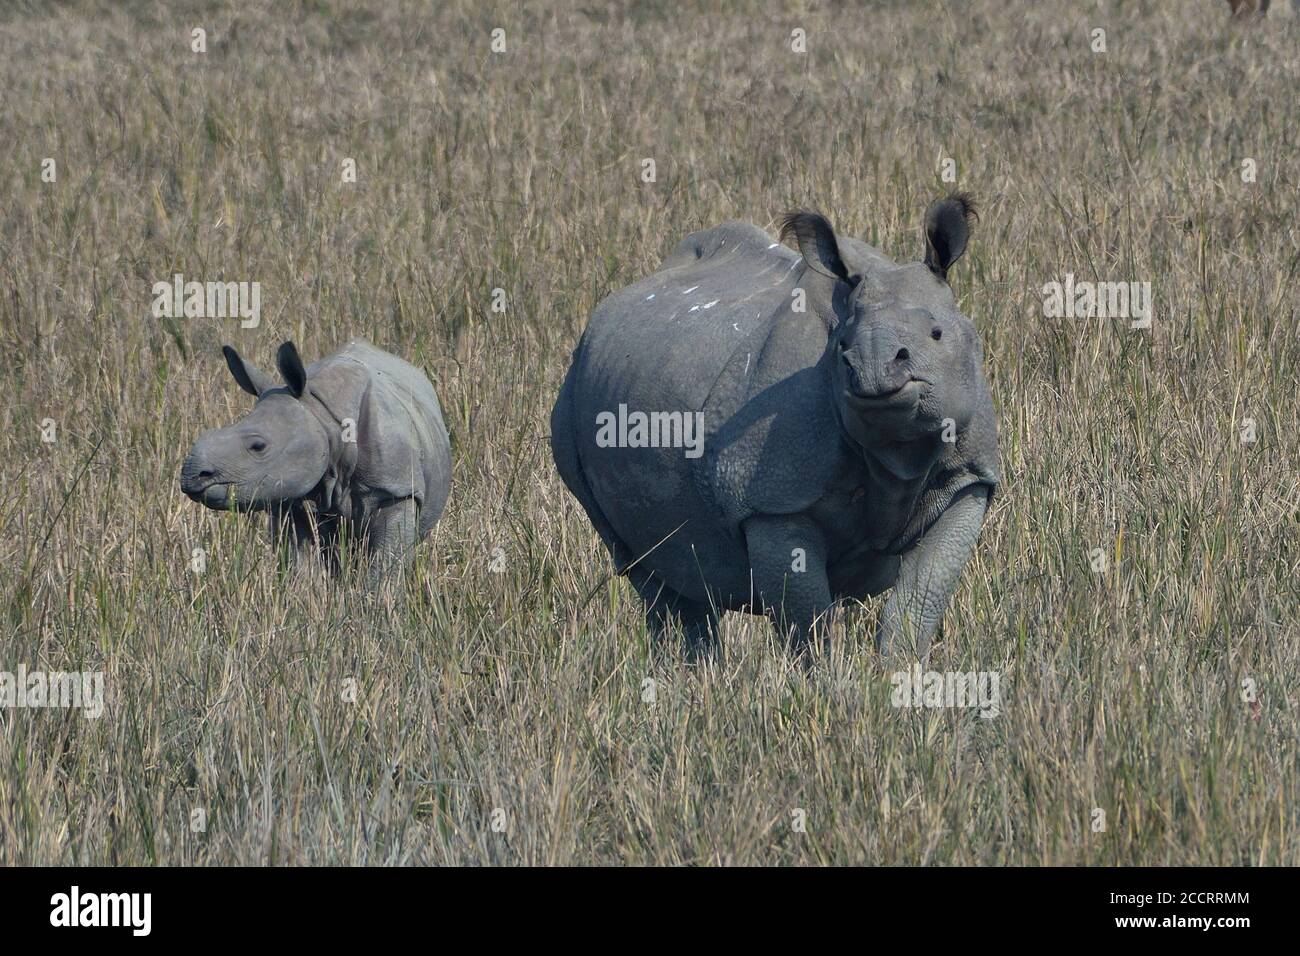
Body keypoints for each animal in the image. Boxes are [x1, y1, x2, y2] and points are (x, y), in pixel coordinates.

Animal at [180, 338, 449, 574]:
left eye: (258, 446)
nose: (191, 476)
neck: (322, 416)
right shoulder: (290, 495)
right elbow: (300, 565)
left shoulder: (394, 489)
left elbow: (386, 566)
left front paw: (378, 600)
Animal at [548, 195, 993, 658]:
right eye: (842, 348)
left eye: (937, 334)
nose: (871, 368)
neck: (897, 452)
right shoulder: (772, 501)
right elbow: (808, 621)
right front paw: (827, 676)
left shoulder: (968, 478)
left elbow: (919, 600)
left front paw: (897, 667)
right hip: (569, 406)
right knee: (643, 567)